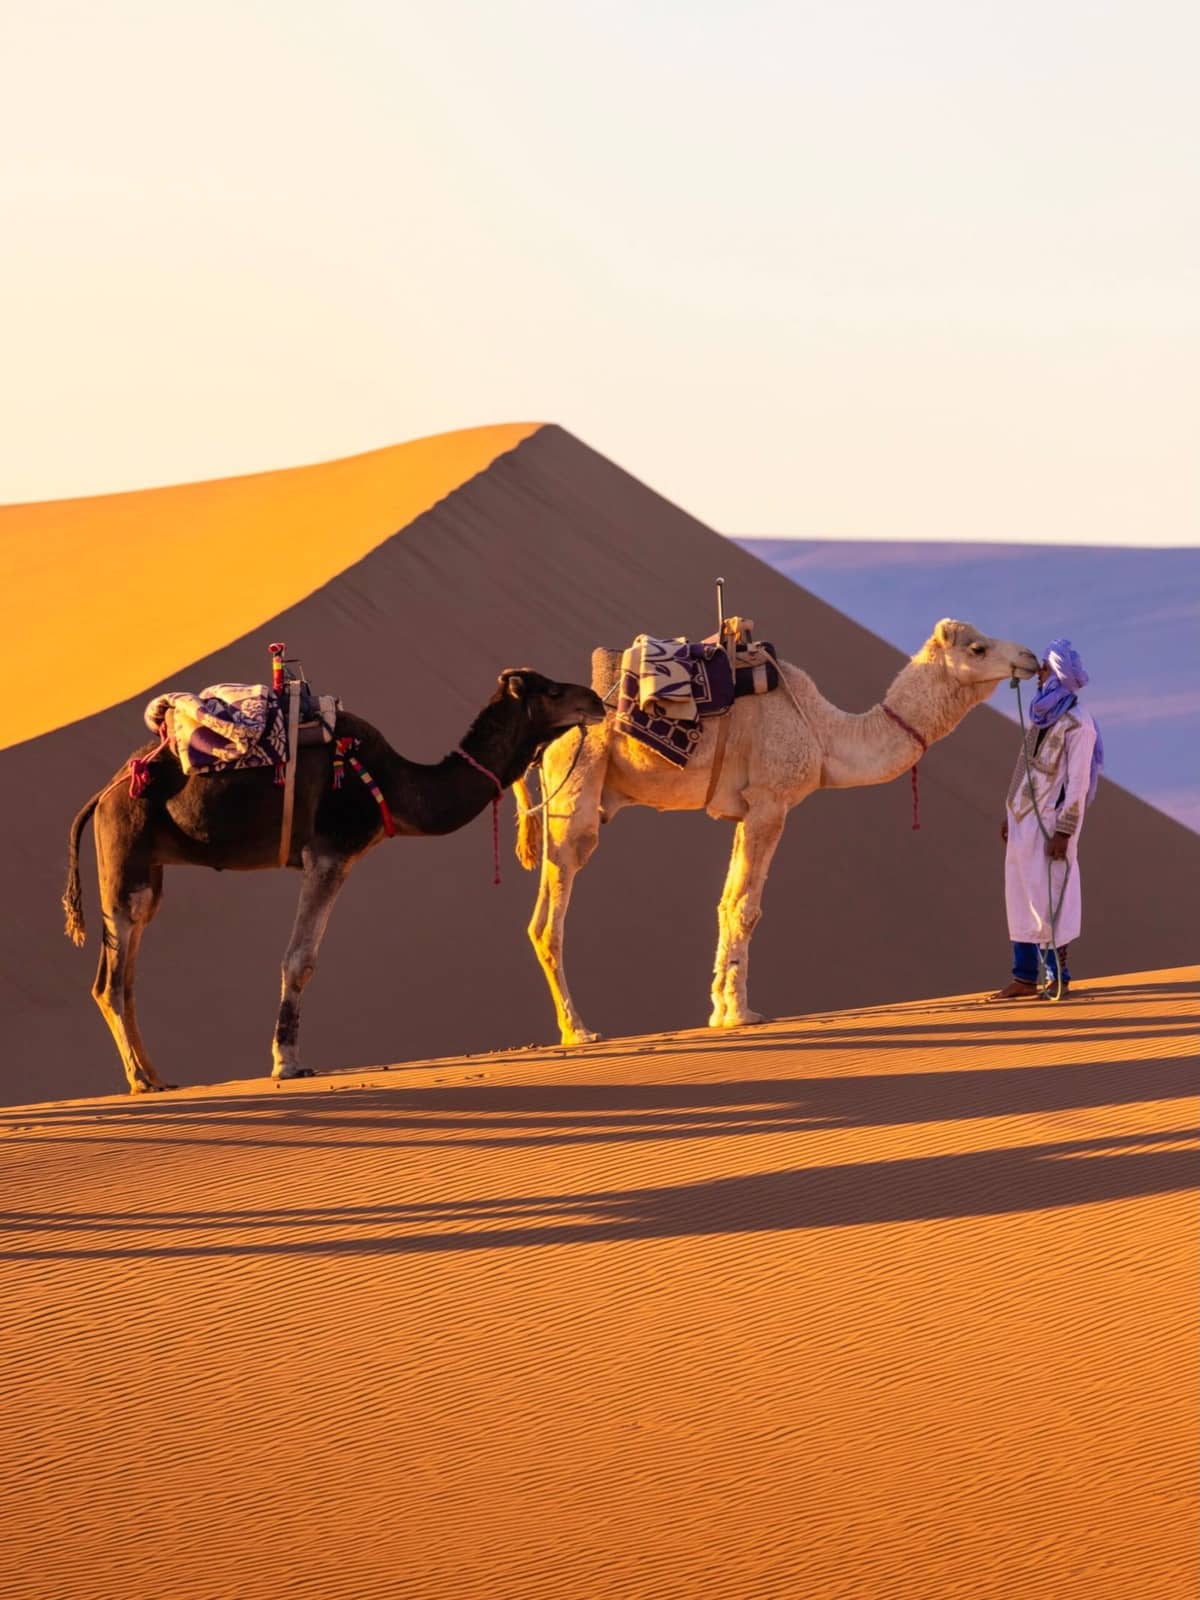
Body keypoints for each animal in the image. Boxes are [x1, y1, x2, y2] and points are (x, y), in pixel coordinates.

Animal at [63, 669, 604, 1093]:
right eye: (552, 690)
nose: (597, 702)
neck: (397, 785)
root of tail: (103, 793)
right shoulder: (330, 853)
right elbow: (300, 960)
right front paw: (287, 1062)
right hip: (125, 852)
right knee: (111, 981)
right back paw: (139, 1078)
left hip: (148, 871)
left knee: (126, 973)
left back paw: (157, 1077)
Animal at [513, 620, 1039, 1043]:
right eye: (977, 648)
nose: (1031, 658)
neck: (827, 737)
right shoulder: (771, 801)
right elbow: (747, 910)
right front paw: (743, 1015)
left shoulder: (745, 810)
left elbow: (726, 903)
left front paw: (720, 1011)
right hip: (575, 789)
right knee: (548, 918)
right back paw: (578, 1031)